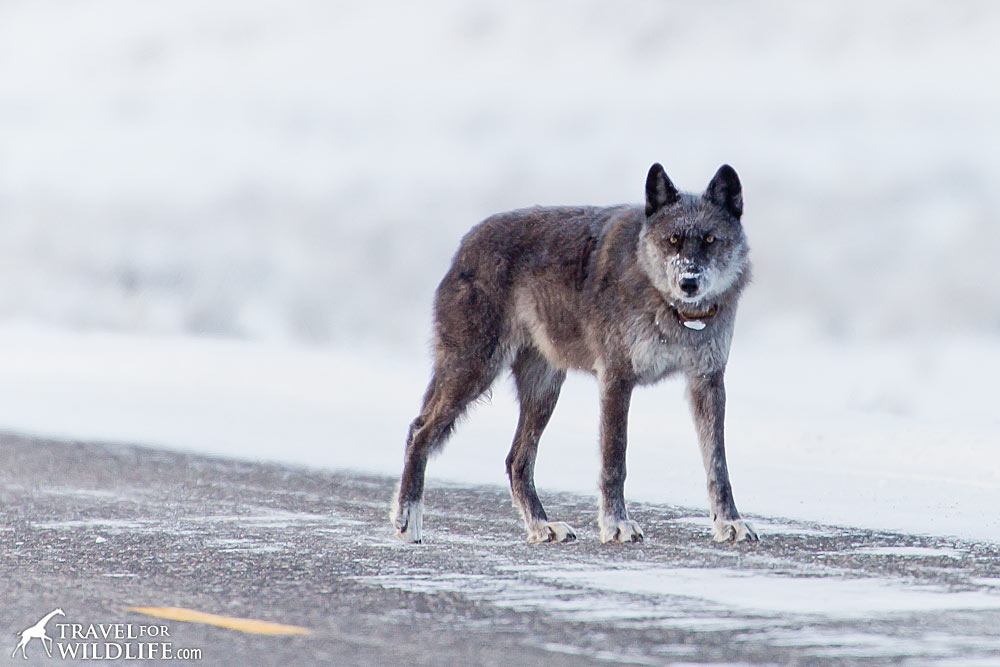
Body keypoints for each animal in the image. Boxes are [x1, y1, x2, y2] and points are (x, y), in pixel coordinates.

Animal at [390, 164, 756, 544]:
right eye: (673, 240)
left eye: (710, 240)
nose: (689, 282)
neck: (675, 312)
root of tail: (466, 242)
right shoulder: (616, 380)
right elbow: (615, 460)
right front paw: (617, 524)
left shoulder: (708, 382)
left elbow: (718, 464)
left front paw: (729, 522)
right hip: (475, 372)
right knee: (419, 432)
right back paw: (408, 520)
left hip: (543, 391)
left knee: (516, 460)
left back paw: (541, 526)